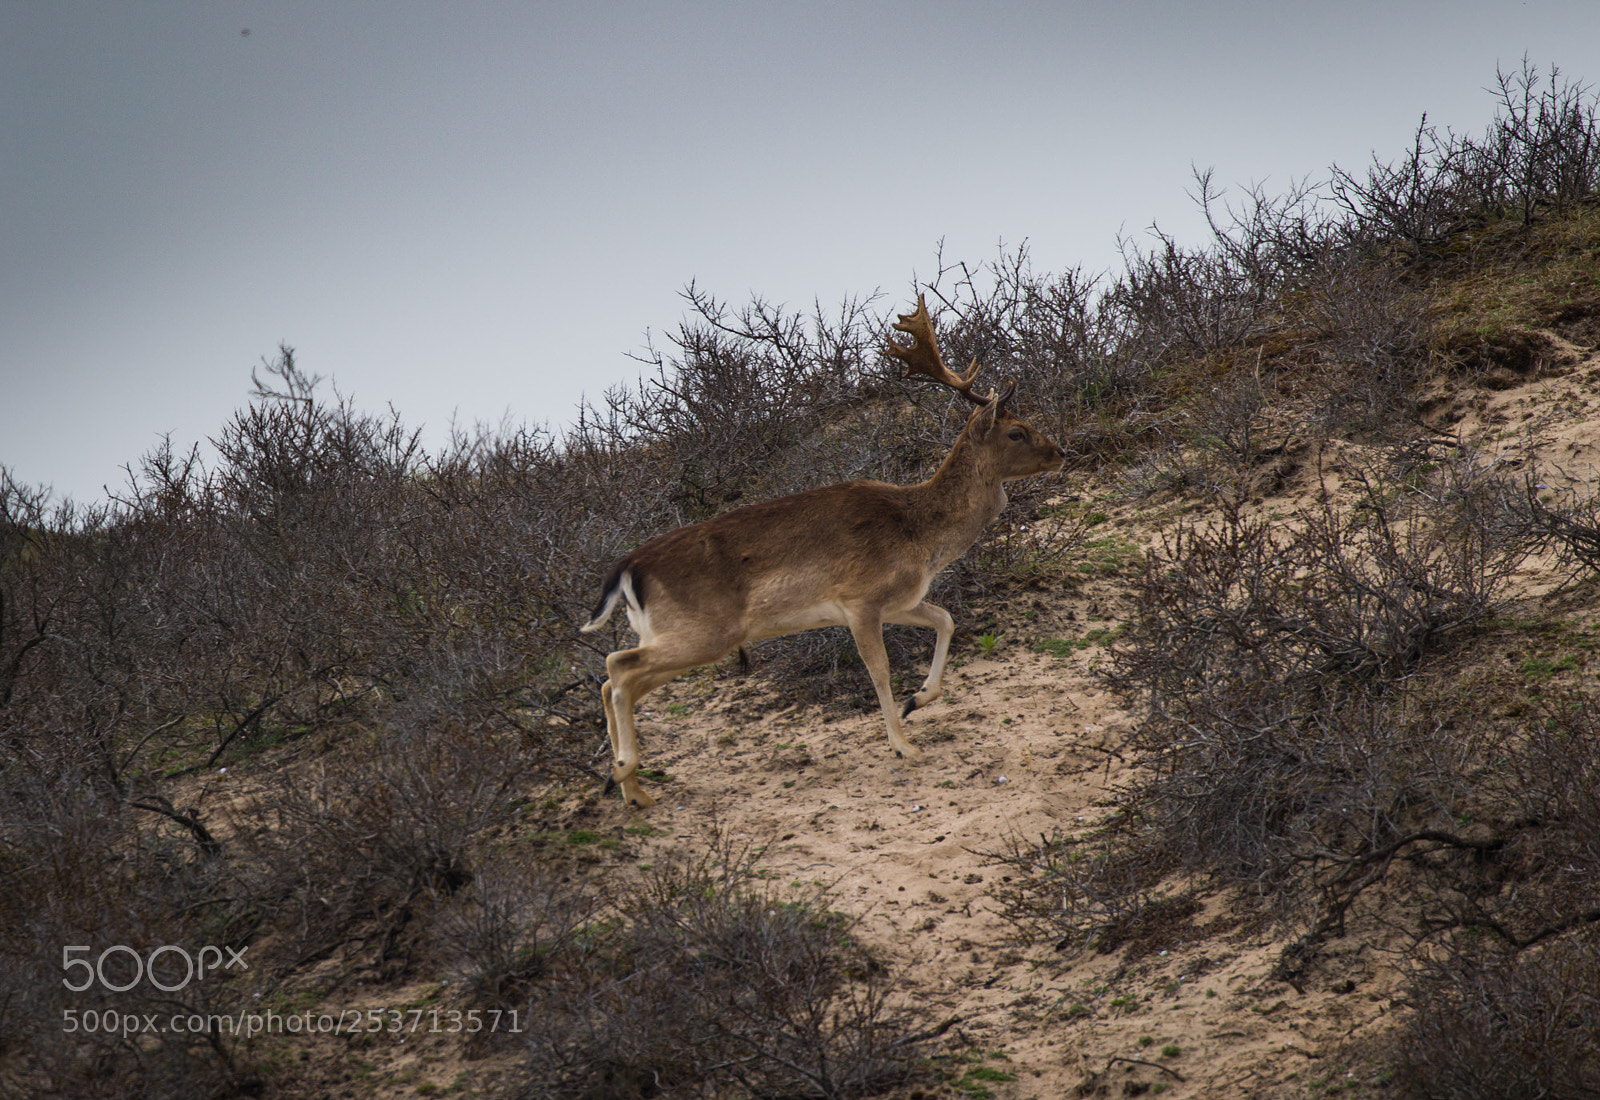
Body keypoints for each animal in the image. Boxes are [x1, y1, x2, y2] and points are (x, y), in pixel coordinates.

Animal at [580, 295, 1066, 807]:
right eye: (1017, 431)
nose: (1061, 452)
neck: (920, 536)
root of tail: (626, 568)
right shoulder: (860, 599)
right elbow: (880, 670)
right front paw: (903, 745)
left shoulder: (898, 600)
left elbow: (946, 620)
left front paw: (917, 701)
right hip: (703, 633)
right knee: (617, 667)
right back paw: (622, 772)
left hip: (673, 635)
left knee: (615, 680)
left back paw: (633, 791)